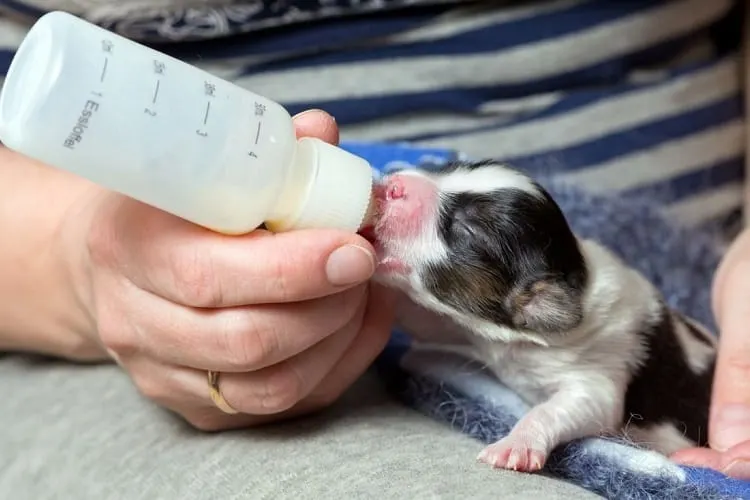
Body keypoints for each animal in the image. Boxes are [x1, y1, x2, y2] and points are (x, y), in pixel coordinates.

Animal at [362, 160, 720, 472]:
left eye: (466, 231)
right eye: (447, 168)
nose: (393, 184)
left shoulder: (599, 372)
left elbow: (560, 408)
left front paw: (516, 444)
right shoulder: (460, 325)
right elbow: (418, 318)